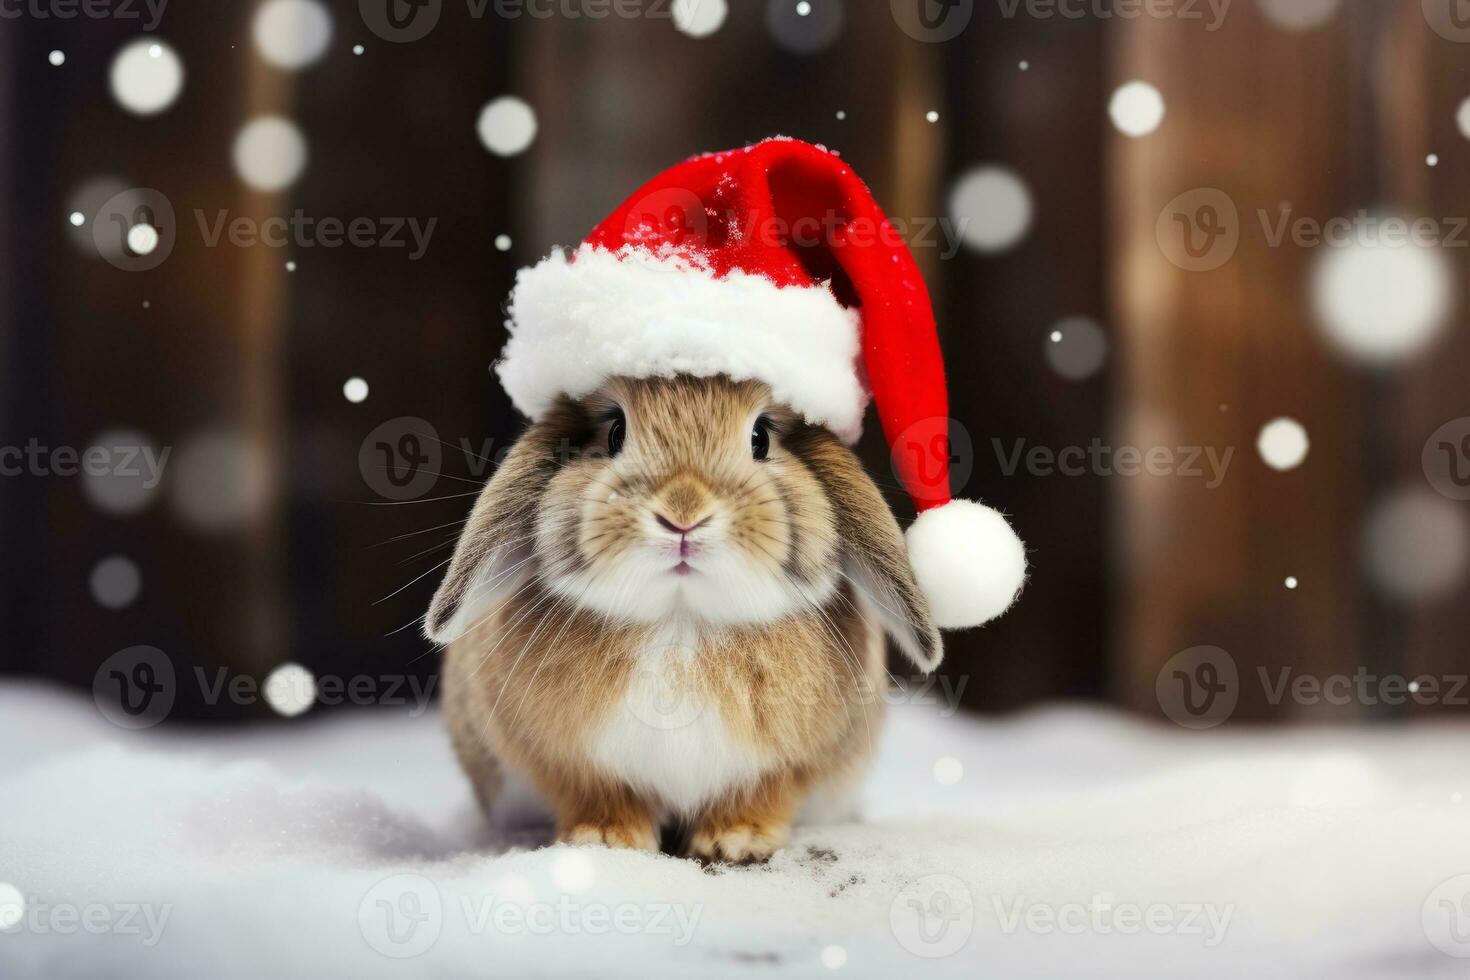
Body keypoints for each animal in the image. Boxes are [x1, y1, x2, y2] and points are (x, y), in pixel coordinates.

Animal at [429, 371, 946, 863]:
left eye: (761, 436)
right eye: (615, 430)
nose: (683, 512)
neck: (682, 620)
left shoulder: (789, 766)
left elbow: (763, 796)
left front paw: (737, 840)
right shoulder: (569, 764)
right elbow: (598, 794)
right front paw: (605, 838)